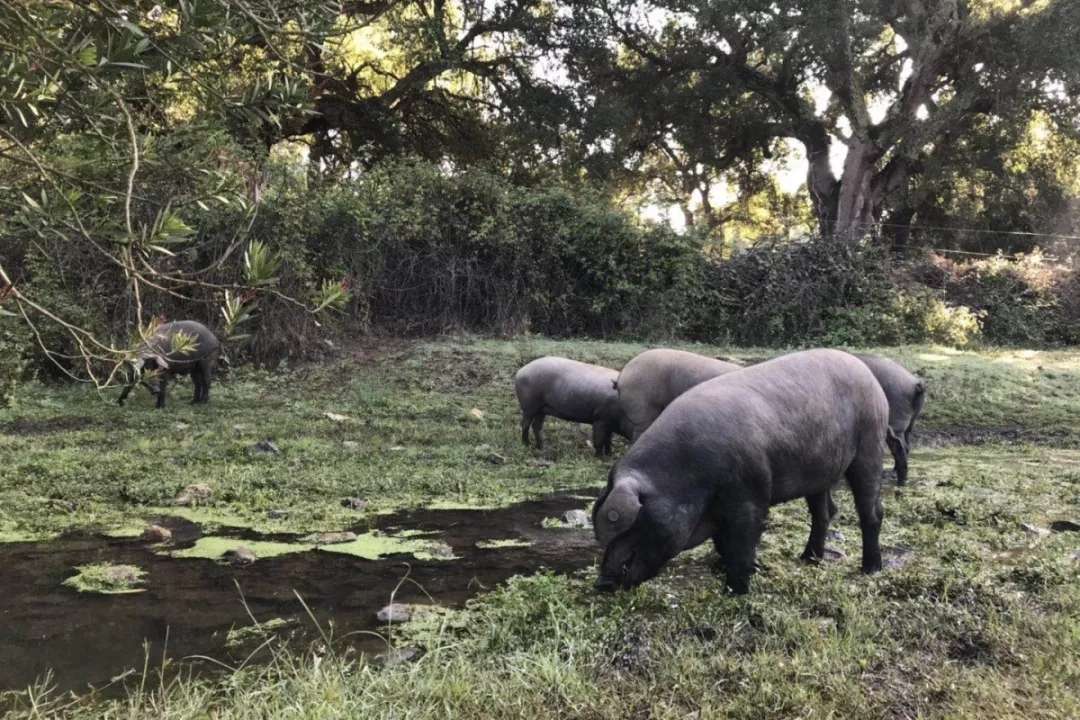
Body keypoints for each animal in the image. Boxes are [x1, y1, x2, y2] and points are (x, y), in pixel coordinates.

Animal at [596, 345, 889, 595]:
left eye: (634, 524)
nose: (601, 583)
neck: (688, 474)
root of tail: (870, 377)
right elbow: (722, 543)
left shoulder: (751, 491)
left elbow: (742, 542)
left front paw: (735, 590)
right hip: (819, 470)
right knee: (825, 512)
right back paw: (808, 559)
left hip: (870, 443)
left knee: (871, 511)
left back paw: (870, 569)